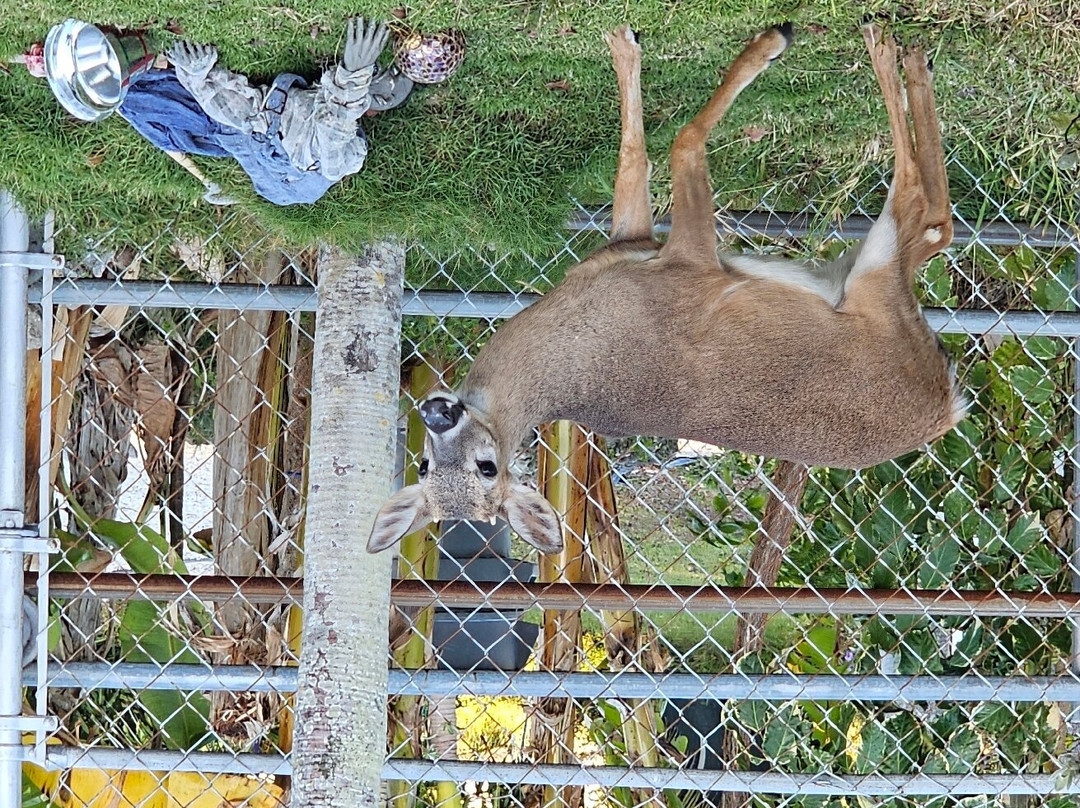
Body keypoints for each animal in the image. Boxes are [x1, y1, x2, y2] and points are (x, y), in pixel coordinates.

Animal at [367, 23, 967, 556]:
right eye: (429, 466)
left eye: (483, 466)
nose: (436, 414)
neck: (571, 346)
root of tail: (947, 406)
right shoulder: (683, 266)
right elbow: (678, 144)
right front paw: (765, 45)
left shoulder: (640, 246)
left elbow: (645, 153)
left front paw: (628, 48)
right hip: (872, 285)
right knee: (925, 213)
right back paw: (893, 51)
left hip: (858, 271)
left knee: (934, 220)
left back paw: (898, 55)